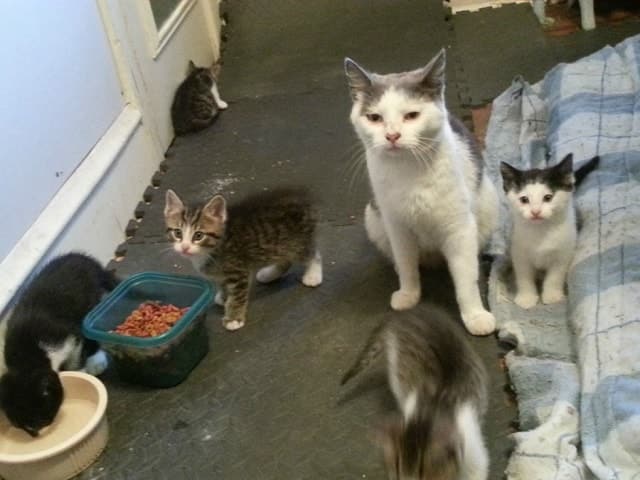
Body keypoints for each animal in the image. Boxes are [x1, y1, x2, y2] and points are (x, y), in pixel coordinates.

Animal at [0, 253, 117, 436]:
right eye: (19, 426)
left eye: (40, 420)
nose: (36, 434)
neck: (26, 353)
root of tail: (82, 258)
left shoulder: (66, 335)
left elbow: (76, 352)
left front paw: (78, 370)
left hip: (92, 299)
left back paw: (96, 360)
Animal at [162, 187, 322, 330]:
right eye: (177, 233)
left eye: (198, 235)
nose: (184, 247)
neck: (213, 248)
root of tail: (304, 198)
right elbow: (223, 284)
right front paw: (224, 296)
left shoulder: (238, 271)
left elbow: (238, 296)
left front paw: (233, 318)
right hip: (280, 245)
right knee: (286, 259)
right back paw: (269, 274)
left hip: (296, 241)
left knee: (313, 254)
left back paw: (313, 275)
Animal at [344, 47, 500, 334]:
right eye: (374, 118)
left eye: (411, 115)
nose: (392, 136)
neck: (409, 170)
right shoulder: (397, 226)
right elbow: (407, 264)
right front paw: (408, 294)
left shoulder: (459, 228)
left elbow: (466, 278)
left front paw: (475, 315)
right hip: (374, 218)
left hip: (488, 203)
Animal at [500, 155, 600, 312]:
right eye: (524, 199)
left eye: (548, 197)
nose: (535, 212)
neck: (541, 231)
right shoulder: (519, 252)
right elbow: (524, 276)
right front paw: (527, 298)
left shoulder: (564, 253)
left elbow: (555, 276)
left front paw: (551, 296)